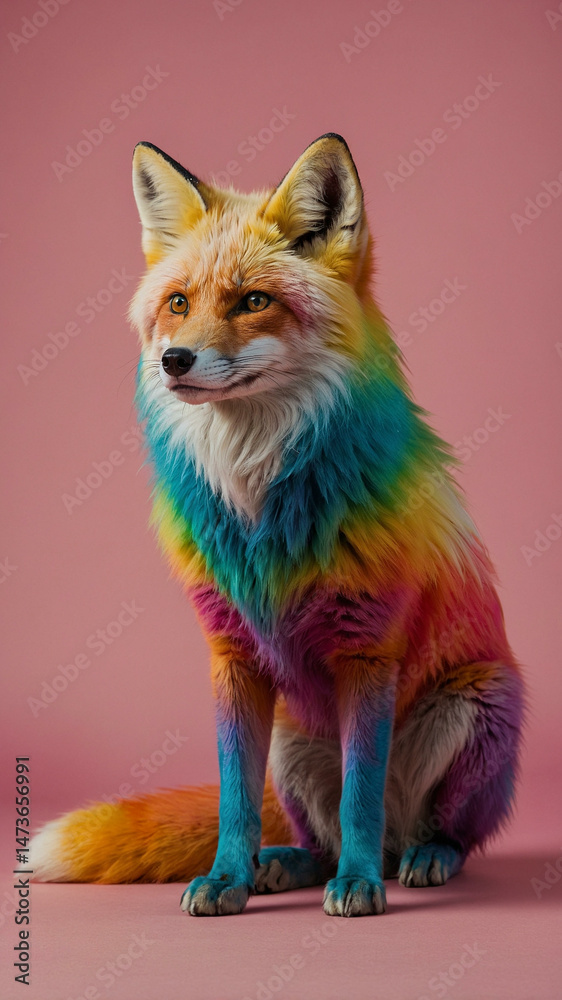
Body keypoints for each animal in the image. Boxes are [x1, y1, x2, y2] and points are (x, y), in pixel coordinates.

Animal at [30, 134, 525, 917]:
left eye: (254, 302)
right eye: (178, 303)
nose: (173, 360)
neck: (259, 495)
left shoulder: (367, 651)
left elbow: (360, 796)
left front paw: (360, 887)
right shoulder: (231, 652)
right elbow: (235, 799)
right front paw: (227, 878)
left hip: (473, 708)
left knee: (427, 829)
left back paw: (416, 859)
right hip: (294, 750)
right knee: (311, 836)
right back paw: (284, 864)